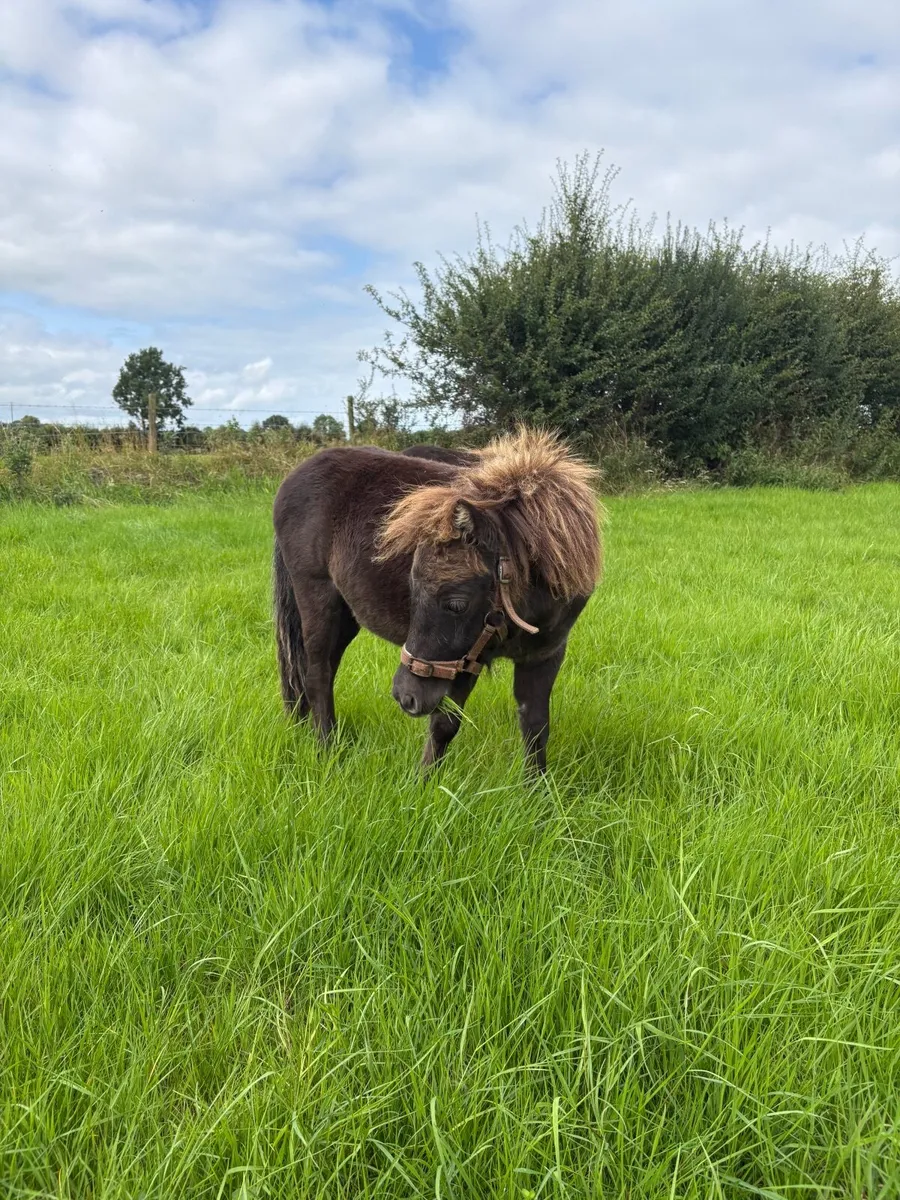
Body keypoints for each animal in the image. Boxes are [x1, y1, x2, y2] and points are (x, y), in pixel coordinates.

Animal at [272, 428, 602, 773]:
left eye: (456, 604)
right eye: (413, 590)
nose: (405, 696)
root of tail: (294, 477)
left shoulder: (542, 656)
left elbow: (535, 726)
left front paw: (536, 786)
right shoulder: (466, 658)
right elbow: (444, 724)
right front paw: (423, 781)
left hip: (346, 615)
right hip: (318, 599)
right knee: (317, 673)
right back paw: (326, 748)